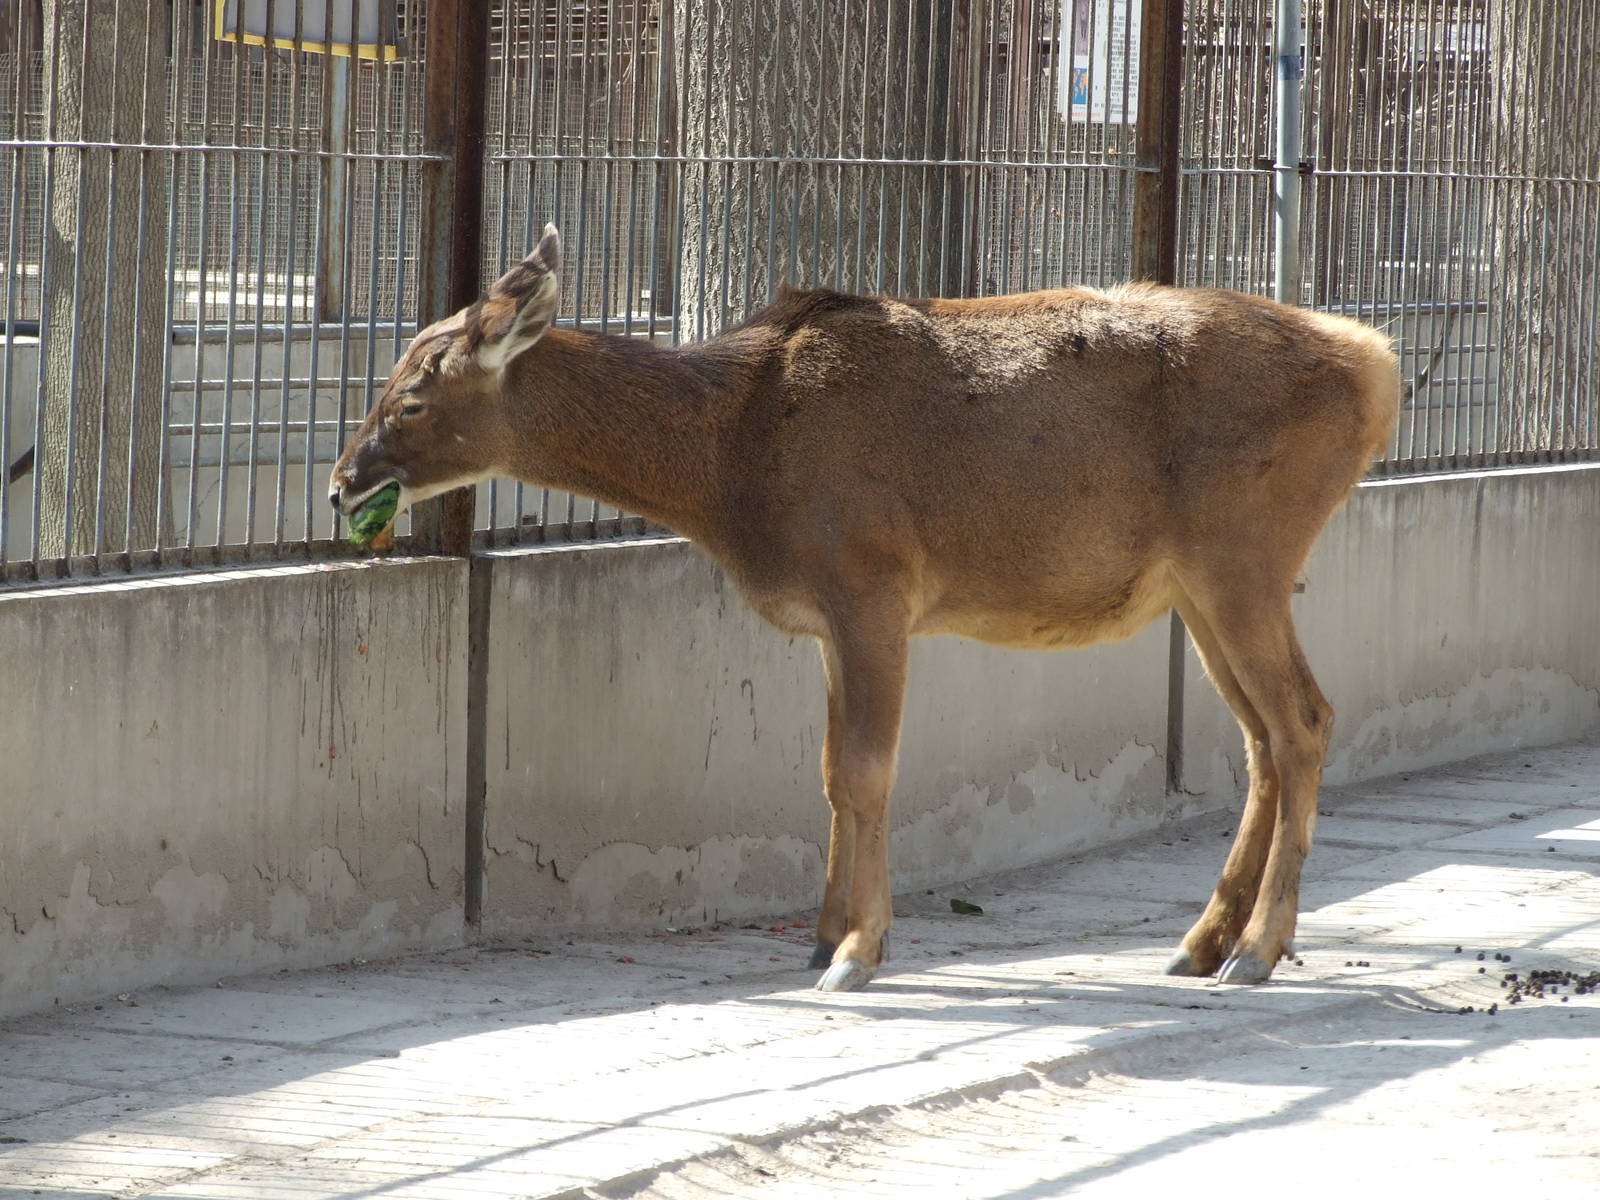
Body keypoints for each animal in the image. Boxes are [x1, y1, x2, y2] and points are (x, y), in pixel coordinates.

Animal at [330, 224, 1401, 993]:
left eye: (414, 397)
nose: (342, 485)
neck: (732, 470)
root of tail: (1377, 364)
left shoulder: (874, 585)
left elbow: (870, 770)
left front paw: (859, 953)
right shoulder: (825, 620)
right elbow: (828, 773)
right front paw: (818, 935)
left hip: (1244, 554)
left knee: (1305, 721)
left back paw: (1255, 951)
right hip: (1202, 584)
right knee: (1263, 739)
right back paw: (1202, 942)